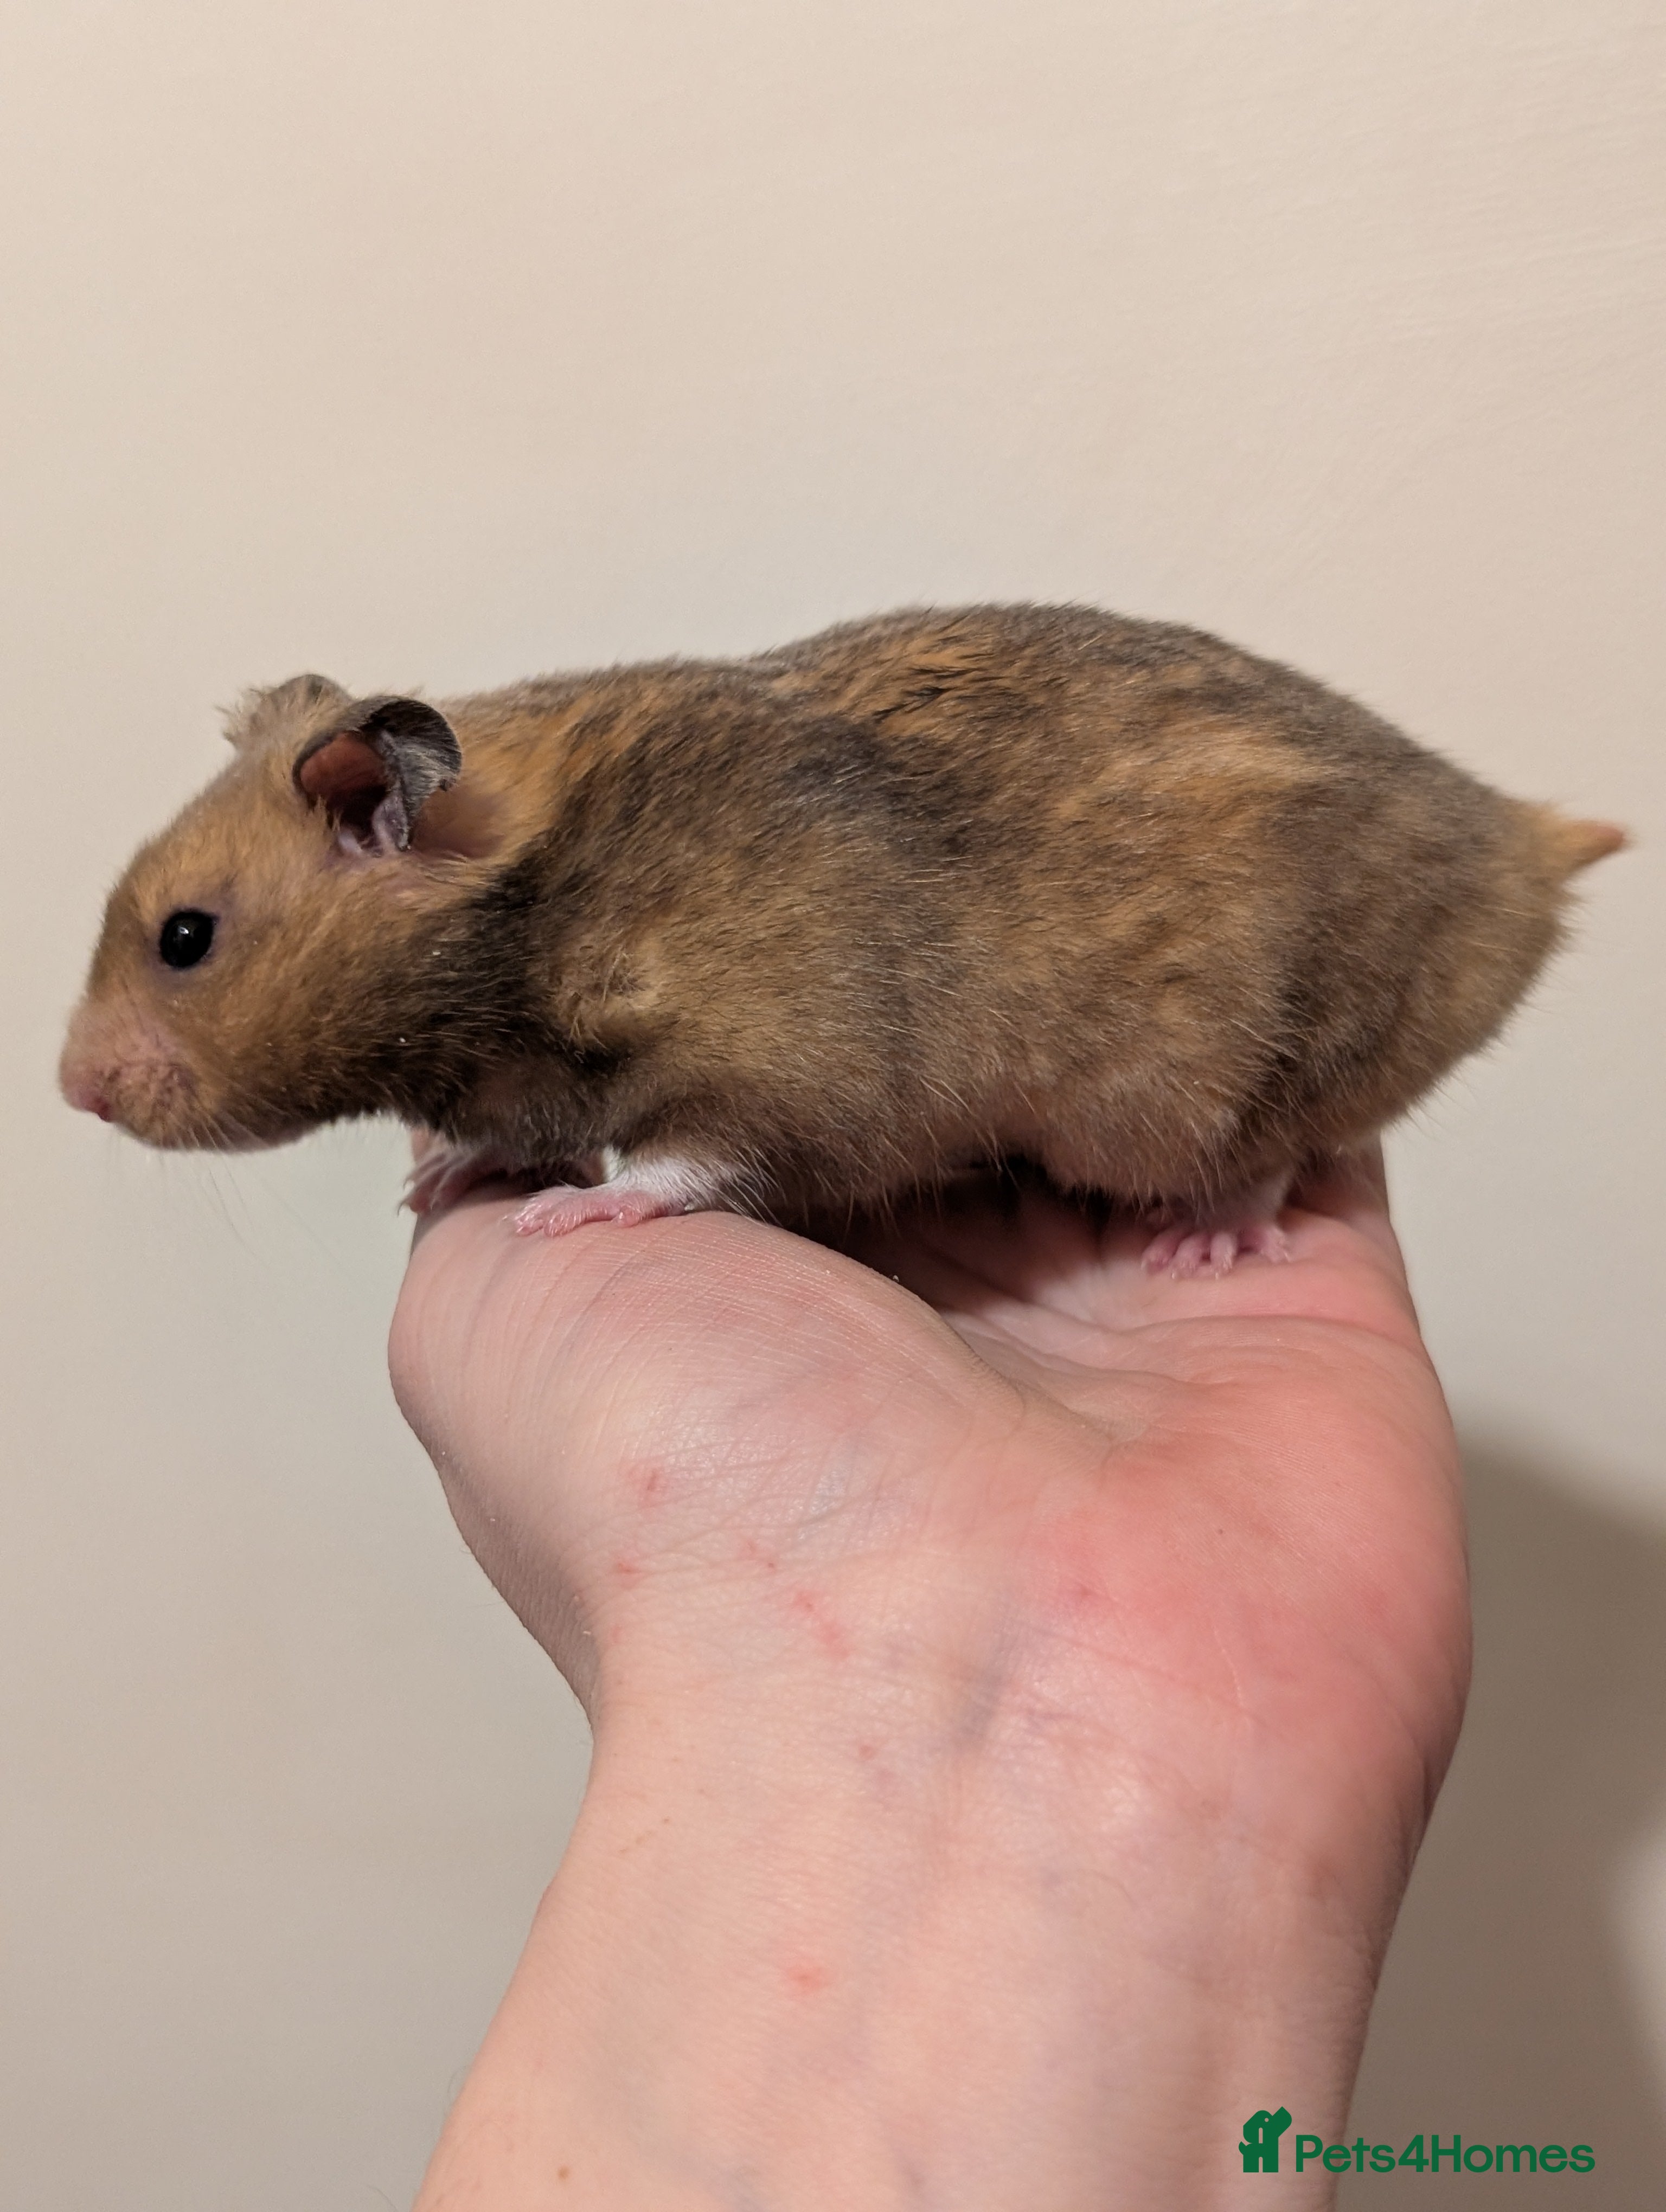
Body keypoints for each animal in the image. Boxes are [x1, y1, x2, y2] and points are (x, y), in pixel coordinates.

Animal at [59, 604, 1625, 1275]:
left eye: (186, 938)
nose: (70, 1092)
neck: (517, 932)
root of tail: (1519, 848)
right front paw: (439, 1172)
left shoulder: (789, 1063)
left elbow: (698, 1153)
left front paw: (578, 1209)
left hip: (1274, 1048)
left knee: (1281, 1145)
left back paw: (1207, 1239)